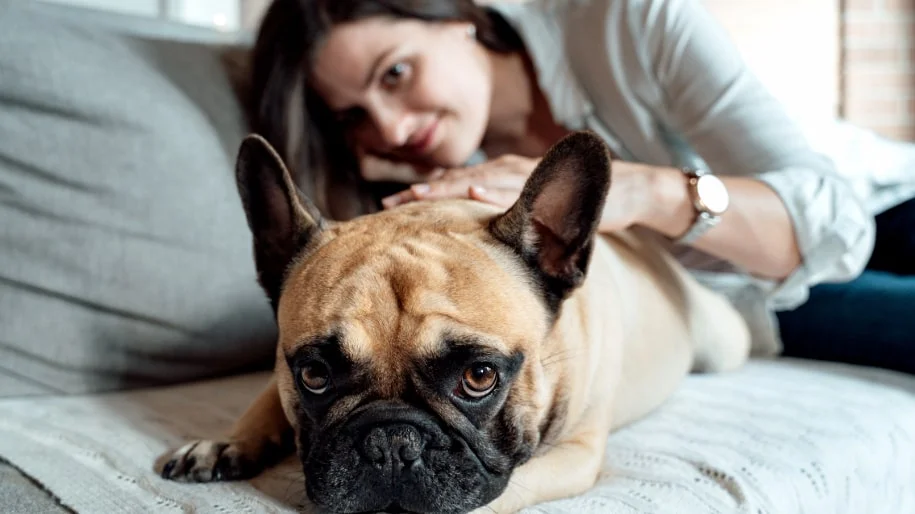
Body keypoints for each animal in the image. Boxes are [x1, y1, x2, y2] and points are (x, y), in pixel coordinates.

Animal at [159, 130, 752, 510]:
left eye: (480, 377)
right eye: (314, 375)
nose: (391, 442)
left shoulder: (575, 456)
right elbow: (263, 402)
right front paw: (227, 441)